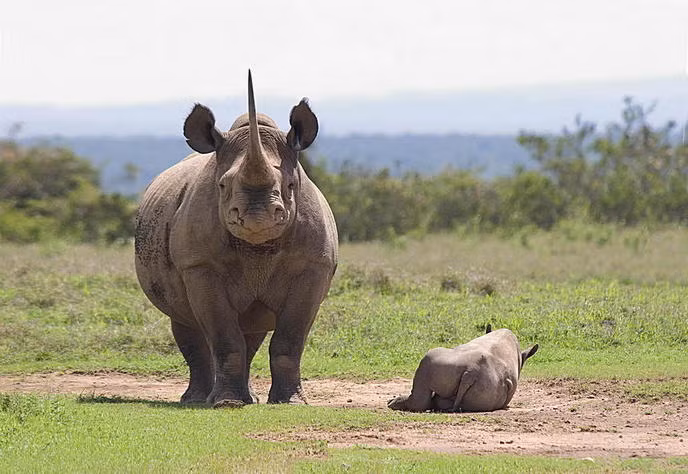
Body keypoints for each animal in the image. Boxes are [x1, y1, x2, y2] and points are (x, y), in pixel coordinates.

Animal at [134, 71, 338, 407]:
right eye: (221, 185)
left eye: (291, 185)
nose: (258, 216)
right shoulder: (200, 266)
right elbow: (224, 338)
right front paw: (226, 403)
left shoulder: (313, 267)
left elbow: (289, 341)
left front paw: (290, 402)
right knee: (187, 323)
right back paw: (197, 399)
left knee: (251, 331)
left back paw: (247, 397)